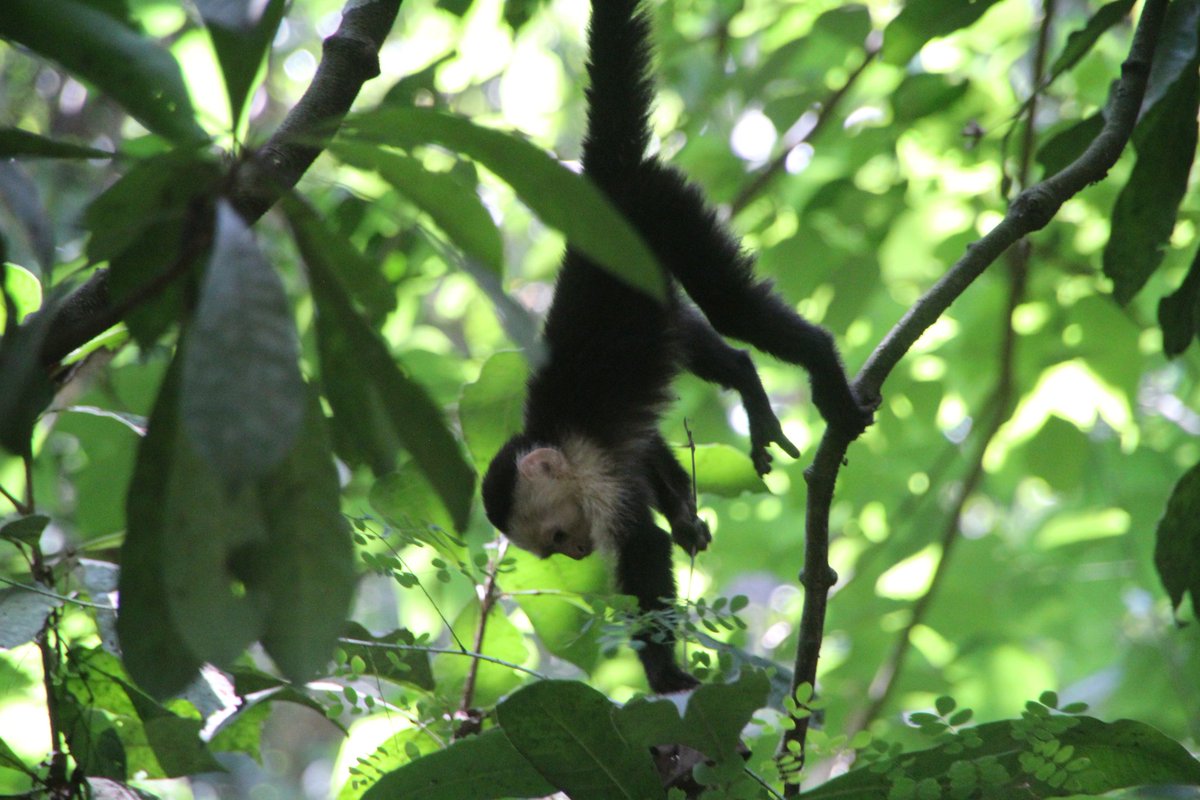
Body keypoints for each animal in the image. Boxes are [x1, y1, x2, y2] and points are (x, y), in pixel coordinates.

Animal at [484, 0, 873, 690]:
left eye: (556, 537)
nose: (577, 552)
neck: (555, 444)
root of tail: (605, 180)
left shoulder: (592, 479)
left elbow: (643, 547)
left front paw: (665, 675)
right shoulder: (609, 459)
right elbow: (646, 448)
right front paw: (685, 517)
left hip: (664, 205)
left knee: (729, 303)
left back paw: (821, 367)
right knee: (692, 333)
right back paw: (746, 381)